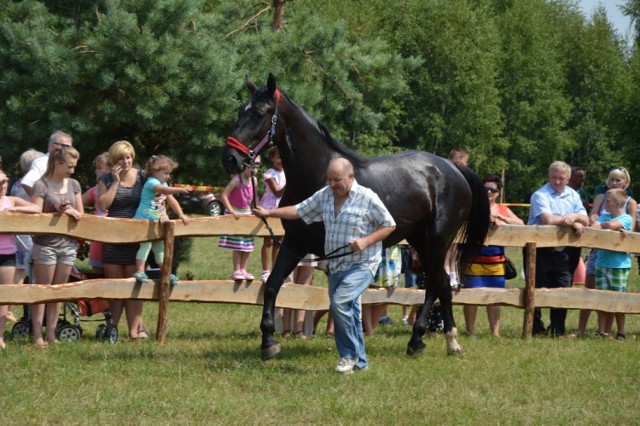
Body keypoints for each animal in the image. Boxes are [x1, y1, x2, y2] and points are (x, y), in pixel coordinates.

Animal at [222, 75, 488, 362]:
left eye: (260, 113)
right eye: (240, 111)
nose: (230, 159)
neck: (319, 173)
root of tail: (453, 169)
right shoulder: (295, 243)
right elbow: (272, 285)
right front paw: (269, 342)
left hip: (438, 240)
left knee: (435, 286)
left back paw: (418, 341)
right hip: (420, 240)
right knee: (444, 286)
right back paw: (451, 343)